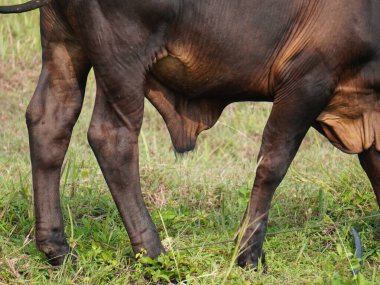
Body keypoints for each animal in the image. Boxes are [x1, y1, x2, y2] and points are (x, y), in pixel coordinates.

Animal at [0, 0, 380, 266]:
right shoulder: (307, 79)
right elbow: (272, 165)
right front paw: (248, 254)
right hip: (122, 63)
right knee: (112, 138)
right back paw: (152, 250)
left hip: (63, 44)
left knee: (50, 123)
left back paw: (57, 249)